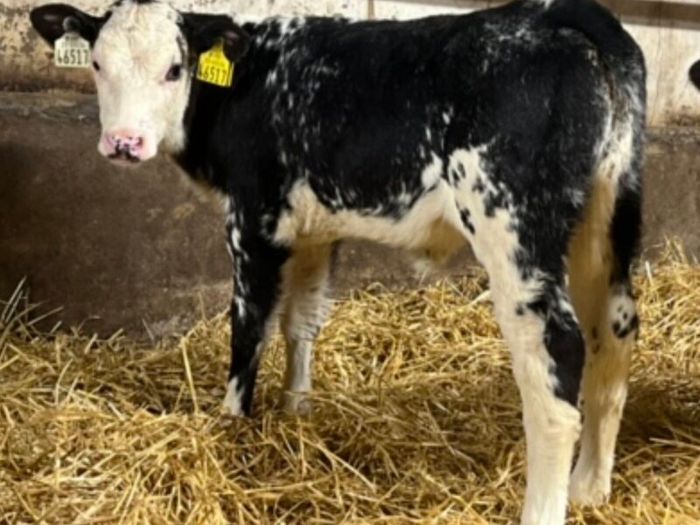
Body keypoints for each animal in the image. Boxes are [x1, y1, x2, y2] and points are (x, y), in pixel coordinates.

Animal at [30, 1, 646, 523]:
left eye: (174, 70)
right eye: (97, 63)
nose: (124, 143)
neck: (254, 81)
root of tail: (565, 15)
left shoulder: (253, 218)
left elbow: (248, 328)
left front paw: (232, 424)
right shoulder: (313, 229)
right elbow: (301, 320)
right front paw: (296, 408)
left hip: (514, 229)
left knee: (557, 353)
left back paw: (546, 505)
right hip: (605, 219)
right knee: (613, 333)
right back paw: (591, 487)